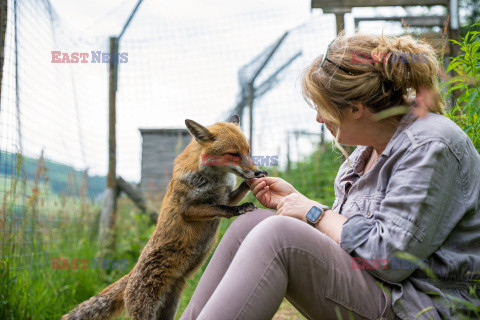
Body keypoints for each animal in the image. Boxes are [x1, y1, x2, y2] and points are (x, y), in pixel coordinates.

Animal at [61, 115, 266, 320]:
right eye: (233, 154)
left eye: (247, 151)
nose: (256, 171)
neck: (217, 179)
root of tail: (130, 274)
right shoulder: (188, 208)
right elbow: (220, 208)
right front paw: (239, 209)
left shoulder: (226, 195)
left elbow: (231, 196)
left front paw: (254, 182)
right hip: (146, 312)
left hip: (170, 307)